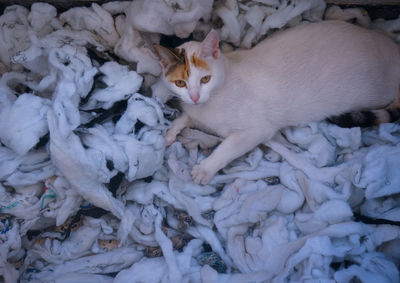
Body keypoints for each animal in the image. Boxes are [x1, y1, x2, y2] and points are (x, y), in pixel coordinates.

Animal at [153, 20, 400, 184]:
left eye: (205, 79)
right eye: (181, 83)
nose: (195, 97)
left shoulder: (256, 130)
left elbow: (227, 148)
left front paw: (205, 169)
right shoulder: (197, 112)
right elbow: (186, 117)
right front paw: (170, 133)